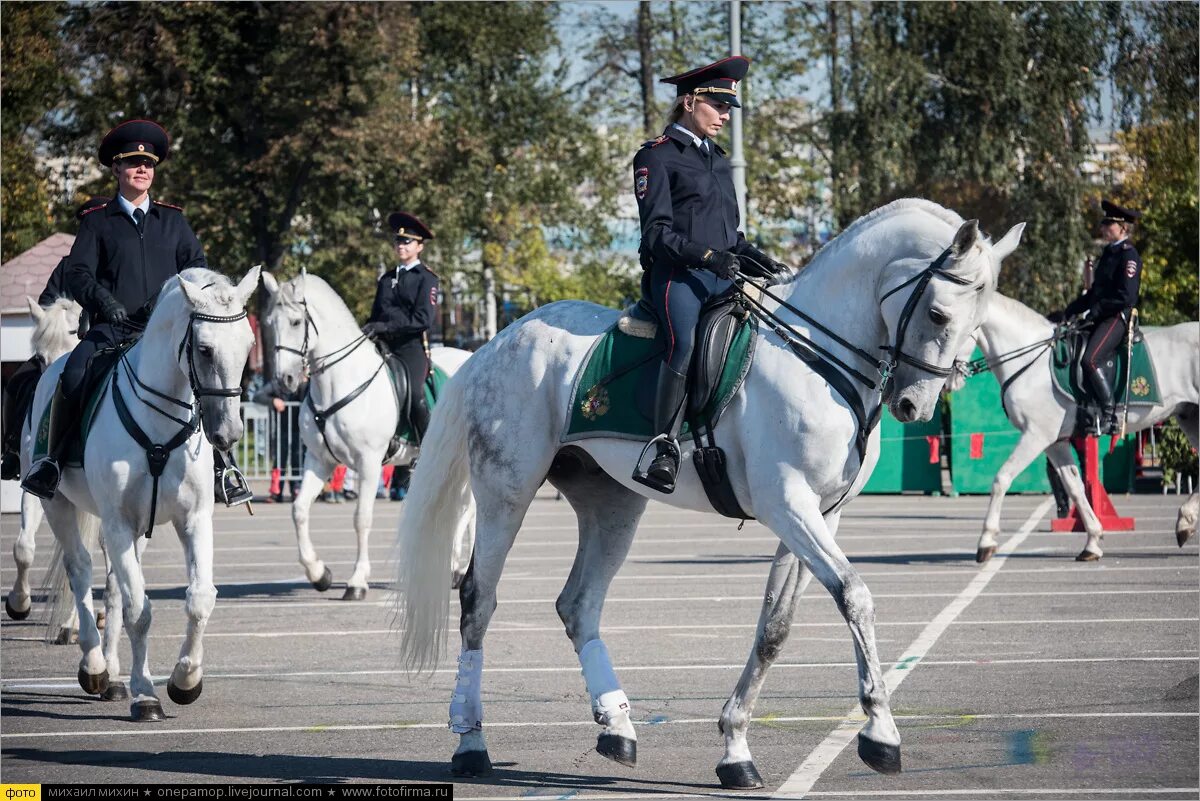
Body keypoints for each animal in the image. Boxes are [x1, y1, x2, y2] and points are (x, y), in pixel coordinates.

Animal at [28, 267, 260, 719]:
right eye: (204, 350)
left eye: (248, 346)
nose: (228, 434)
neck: (159, 421)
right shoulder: (117, 522)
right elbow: (140, 609)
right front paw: (147, 695)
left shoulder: (193, 520)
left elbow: (199, 599)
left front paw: (185, 680)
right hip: (57, 504)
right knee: (81, 571)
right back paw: (95, 667)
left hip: (135, 530)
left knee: (114, 585)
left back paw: (113, 674)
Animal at [262, 272, 472, 597]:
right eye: (270, 322)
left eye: (296, 322)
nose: (285, 380)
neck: (339, 381)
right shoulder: (318, 460)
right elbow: (299, 510)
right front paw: (318, 573)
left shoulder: (369, 463)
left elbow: (362, 519)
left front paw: (357, 580)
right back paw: (454, 568)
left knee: (469, 509)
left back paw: (459, 568)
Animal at [391, 196, 1022, 786]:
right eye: (938, 313)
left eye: (979, 323)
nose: (914, 406)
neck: (816, 353)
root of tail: (496, 343)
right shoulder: (787, 505)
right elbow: (854, 595)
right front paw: (880, 735)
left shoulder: (820, 515)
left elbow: (775, 628)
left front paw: (736, 747)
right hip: (507, 492)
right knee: (479, 600)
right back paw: (471, 743)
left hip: (612, 504)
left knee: (579, 603)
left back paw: (617, 729)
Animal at [945, 293, 1200, 563]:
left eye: (951, 329)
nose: (947, 381)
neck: (1029, 362)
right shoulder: (1055, 442)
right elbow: (1075, 487)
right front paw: (1092, 542)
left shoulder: (1036, 436)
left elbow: (1002, 478)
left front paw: (986, 542)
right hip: (1189, 416)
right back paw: (1184, 524)